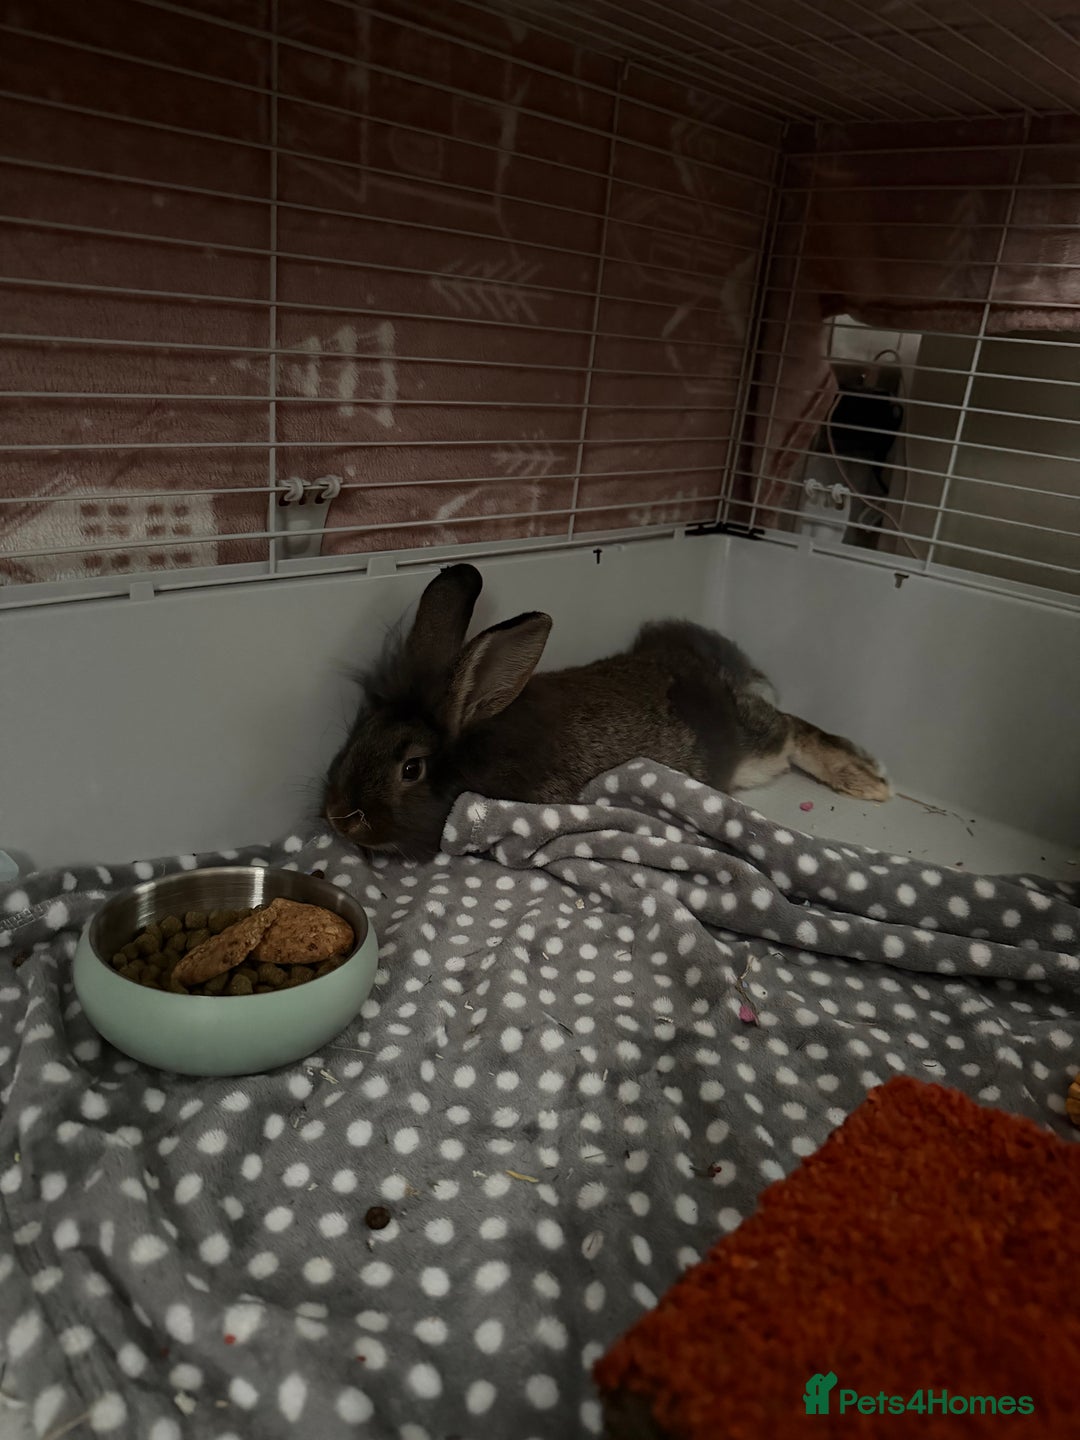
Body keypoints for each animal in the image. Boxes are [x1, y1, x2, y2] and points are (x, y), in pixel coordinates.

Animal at [323, 562, 891, 860]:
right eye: (356, 736)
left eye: (411, 769)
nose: (338, 817)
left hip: (757, 749)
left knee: (790, 728)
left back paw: (866, 780)